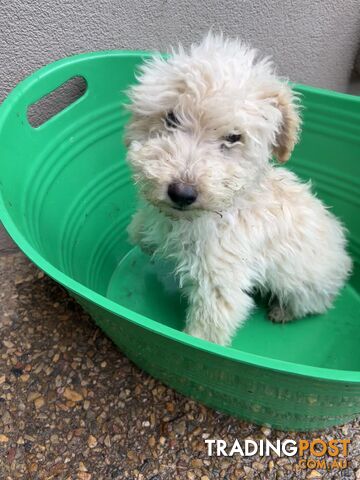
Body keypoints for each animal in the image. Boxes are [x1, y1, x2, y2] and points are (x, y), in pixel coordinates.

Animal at [124, 35, 352, 346]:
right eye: (171, 118)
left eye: (234, 137)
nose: (182, 193)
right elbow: (140, 230)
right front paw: (146, 238)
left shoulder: (219, 283)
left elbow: (206, 331)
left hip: (305, 287)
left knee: (314, 304)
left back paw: (283, 311)